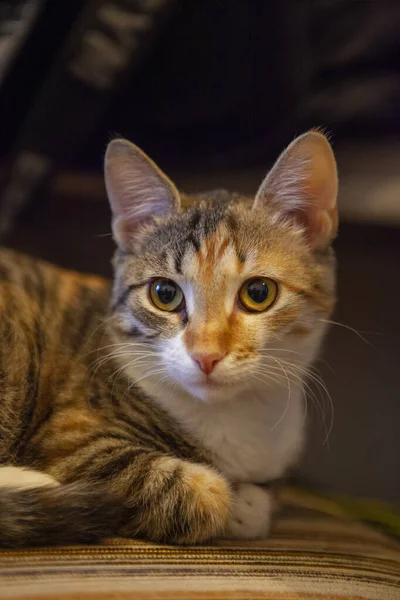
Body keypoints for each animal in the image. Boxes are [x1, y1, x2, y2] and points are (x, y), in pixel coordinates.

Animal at [0, 131, 338, 548]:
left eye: (259, 293)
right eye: (164, 293)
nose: (205, 354)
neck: (234, 414)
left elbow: (265, 502)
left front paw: (252, 503)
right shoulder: (72, 437)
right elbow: (205, 495)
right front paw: (232, 502)